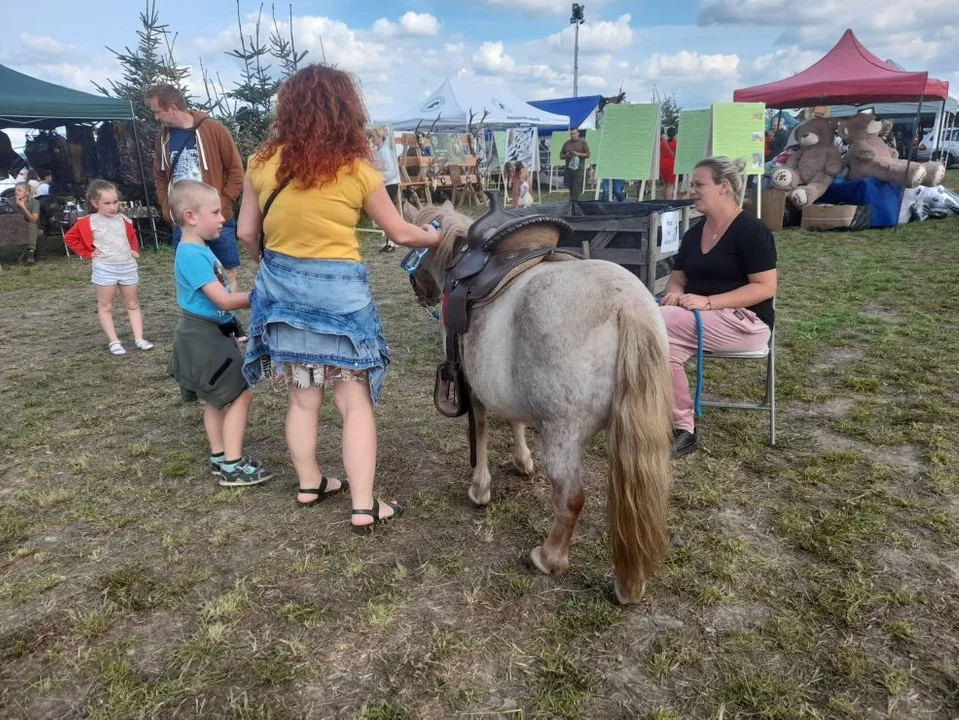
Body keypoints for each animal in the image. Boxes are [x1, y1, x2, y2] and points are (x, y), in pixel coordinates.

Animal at [404, 201, 676, 600]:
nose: (421, 290)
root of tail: (626, 305)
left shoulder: (474, 384)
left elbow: (480, 430)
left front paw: (480, 488)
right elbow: (515, 419)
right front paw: (522, 462)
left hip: (563, 436)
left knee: (571, 497)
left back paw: (549, 558)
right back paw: (631, 583)